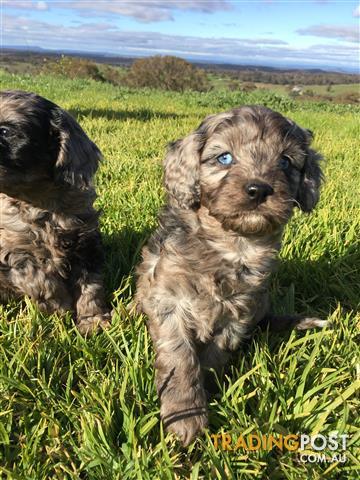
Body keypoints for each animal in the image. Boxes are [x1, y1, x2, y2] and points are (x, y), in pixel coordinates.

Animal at [0, 90, 110, 334]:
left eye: (5, 131)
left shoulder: (85, 244)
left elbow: (91, 285)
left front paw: (93, 321)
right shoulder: (14, 250)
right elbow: (40, 279)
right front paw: (60, 308)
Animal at [135, 106, 326, 446]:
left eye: (285, 162)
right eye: (224, 158)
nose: (258, 189)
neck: (229, 244)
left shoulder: (240, 311)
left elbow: (215, 354)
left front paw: (208, 388)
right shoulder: (168, 301)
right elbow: (180, 360)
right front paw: (185, 416)